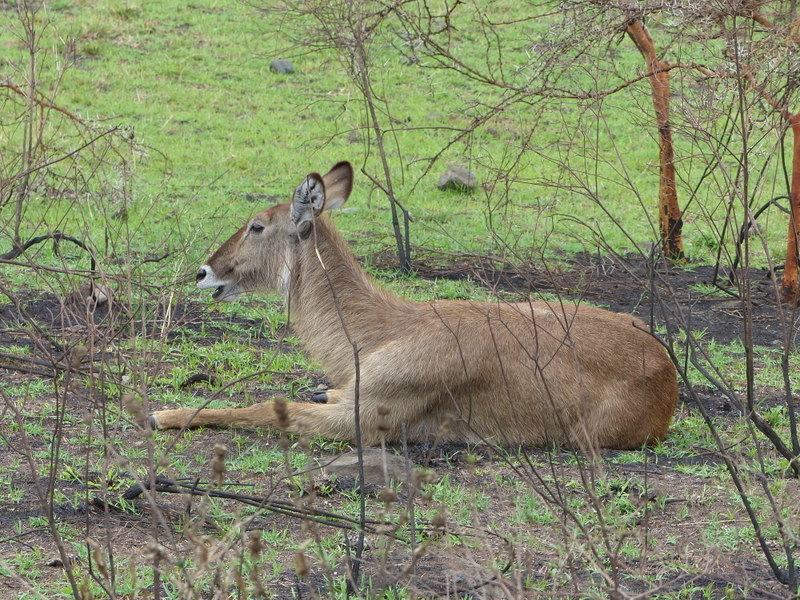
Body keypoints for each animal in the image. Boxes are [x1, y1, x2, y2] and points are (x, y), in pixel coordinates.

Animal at [148, 162, 676, 448]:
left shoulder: (365, 421)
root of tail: (665, 369)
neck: (386, 331)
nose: (204, 272)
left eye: (257, 224)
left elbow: (265, 408)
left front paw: (166, 414)